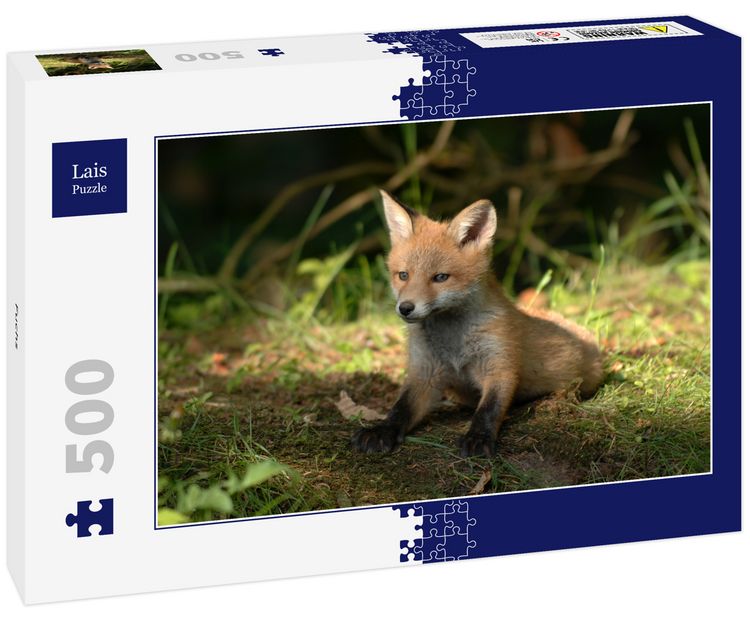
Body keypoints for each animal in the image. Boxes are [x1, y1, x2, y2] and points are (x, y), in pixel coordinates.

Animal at [352, 190, 603, 458]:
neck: (453, 341)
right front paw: (381, 430)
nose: (406, 308)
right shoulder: (424, 371)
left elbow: (488, 409)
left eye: (440, 277)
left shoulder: (499, 365)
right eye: (403, 275)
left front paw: (478, 438)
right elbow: (401, 408)